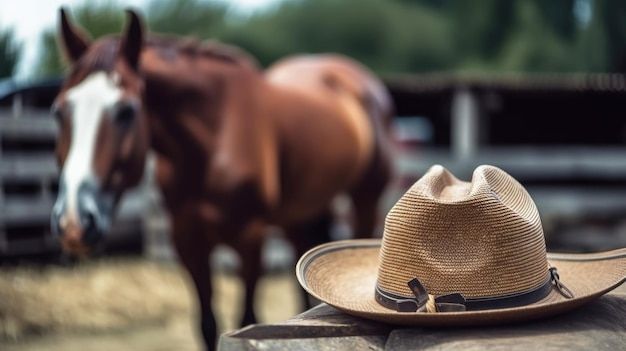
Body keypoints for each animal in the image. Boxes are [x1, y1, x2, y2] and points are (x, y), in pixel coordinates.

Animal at [50, 8, 390, 351]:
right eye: (58, 111)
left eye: (127, 111)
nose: (74, 222)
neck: (214, 138)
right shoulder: (187, 240)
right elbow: (207, 324)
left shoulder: (250, 238)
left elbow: (247, 317)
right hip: (298, 213)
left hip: (365, 197)